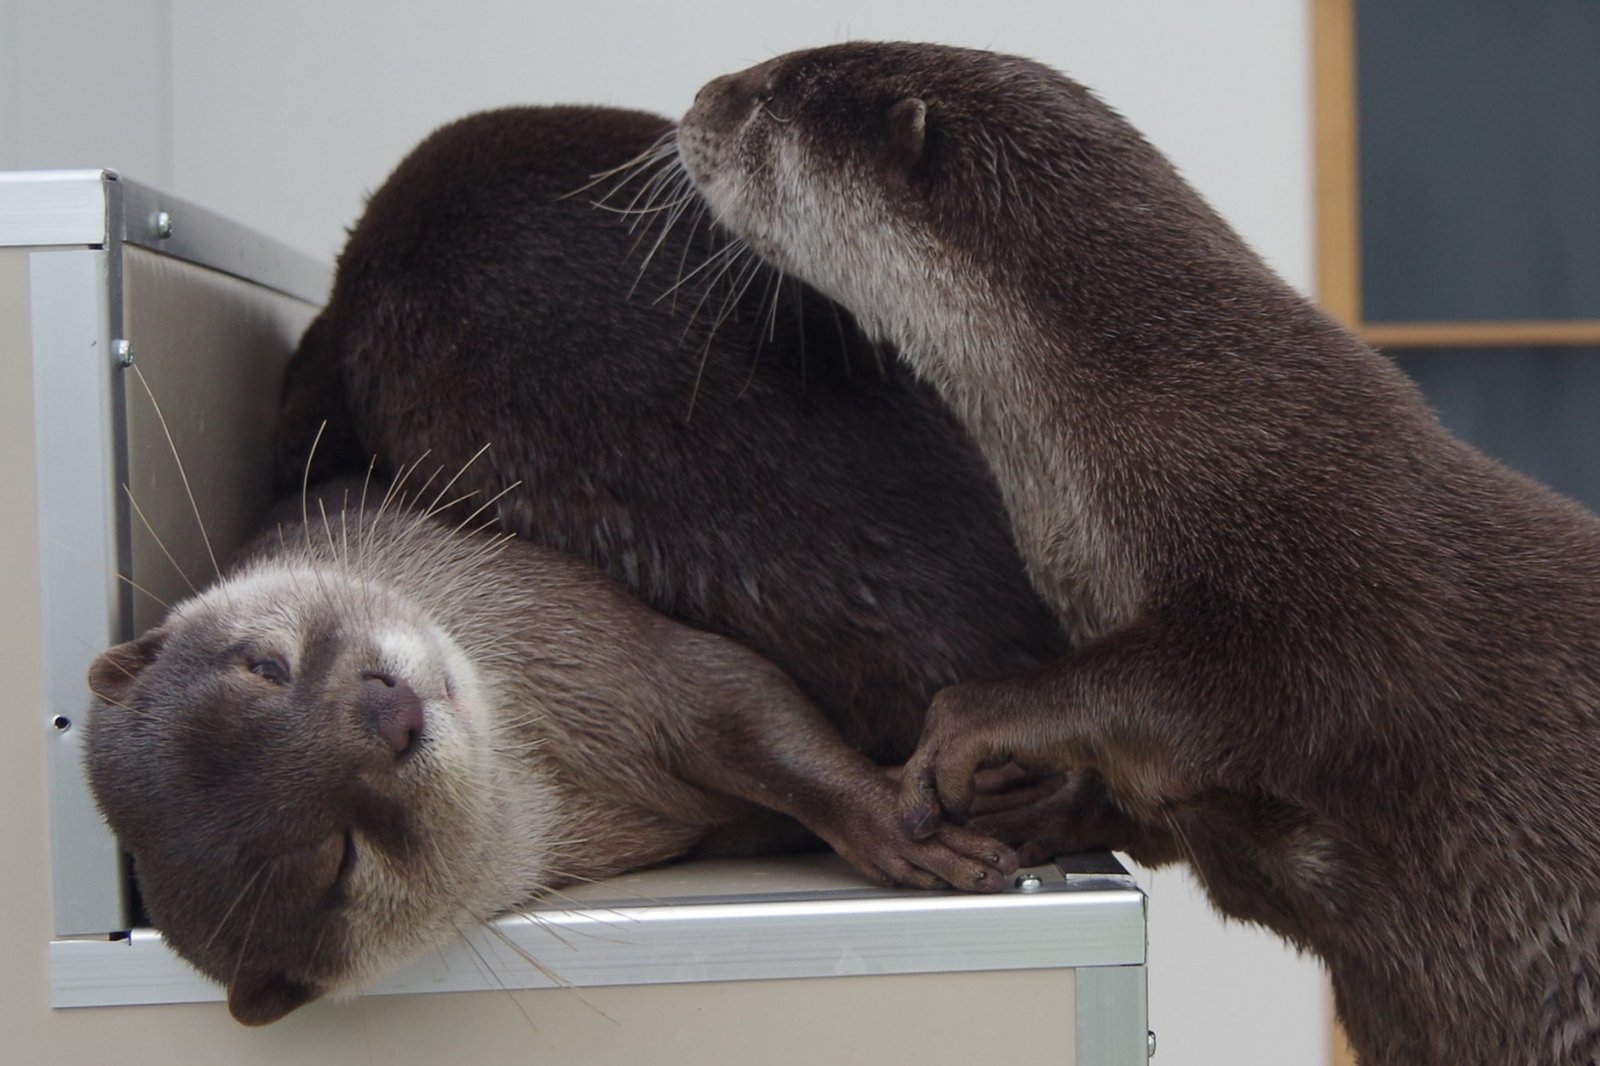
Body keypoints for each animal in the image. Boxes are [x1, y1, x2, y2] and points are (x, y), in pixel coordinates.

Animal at [681, 41, 1600, 1062]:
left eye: (775, 93)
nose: (699, 99)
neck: (1171, 406)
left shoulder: (1343, 568)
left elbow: (1253, 688)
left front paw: (970, 725)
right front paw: (1034, 807)